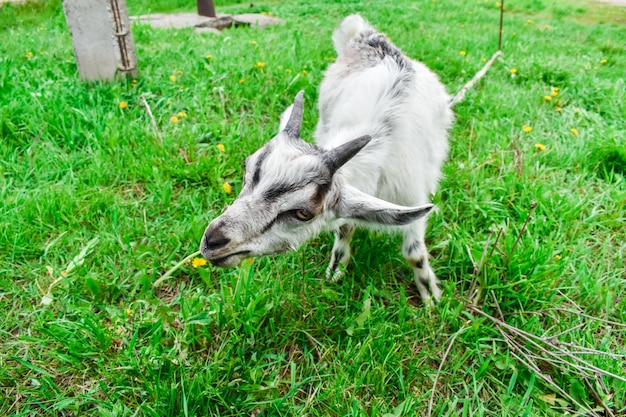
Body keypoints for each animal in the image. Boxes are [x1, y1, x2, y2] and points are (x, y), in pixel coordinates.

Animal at [197, 13, 450, 302]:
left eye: (303, 213)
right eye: (247, 169)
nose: (213, 240)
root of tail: (368, 37)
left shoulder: (412, 195)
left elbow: (414, 254)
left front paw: (430, 296)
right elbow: (345, 226)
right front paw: (337, 268)